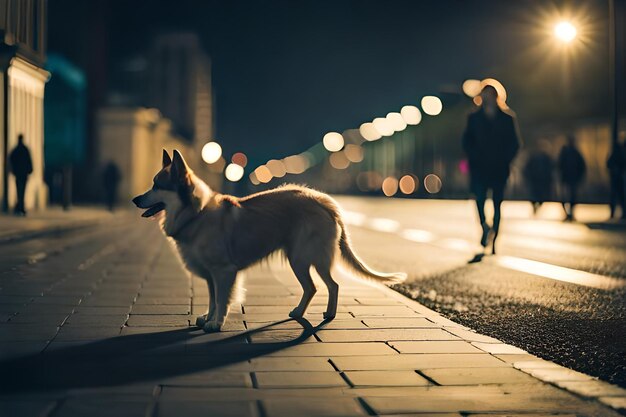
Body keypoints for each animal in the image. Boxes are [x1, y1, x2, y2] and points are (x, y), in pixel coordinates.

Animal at [133, 150, 404, 332]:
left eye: (157, 185)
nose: (135, 199)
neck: (195, 214)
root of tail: (324, 202)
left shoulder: (224, 271)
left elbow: (222, 299)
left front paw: (216, 323)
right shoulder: (210, 275)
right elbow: (212, 298)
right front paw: (208, 318)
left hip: (304, 257)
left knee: (330, 285)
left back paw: (328, 314)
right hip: (300, 258)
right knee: (314, 287)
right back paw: (300, 312)